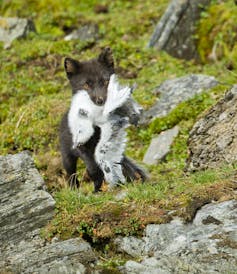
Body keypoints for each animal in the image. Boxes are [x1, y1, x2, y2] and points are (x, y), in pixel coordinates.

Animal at [59, 47, 147, 193]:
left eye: (106, 81)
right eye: (86, 85)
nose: (101, 100)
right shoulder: (83, 148)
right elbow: (93, 169)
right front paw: (97, 188)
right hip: (67, 157)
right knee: (72, 175)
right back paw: (76, 191)